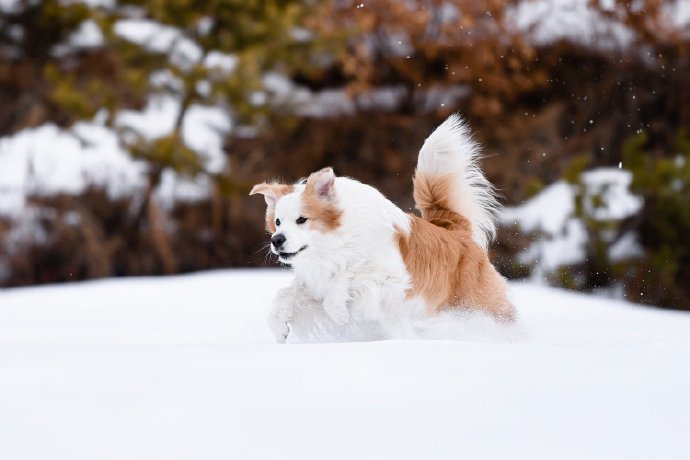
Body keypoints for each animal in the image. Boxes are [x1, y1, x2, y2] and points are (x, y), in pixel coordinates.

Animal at [250, 113, 512, 344]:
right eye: (277, 222)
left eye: (302, 220)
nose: (277, 240)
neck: (337, 243)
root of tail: (454, 231)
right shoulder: (316, 282)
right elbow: (286, 295)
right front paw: (280, 329)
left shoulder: (391, 278)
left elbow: (348, 278)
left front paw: (339, 312)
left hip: (478, 303)